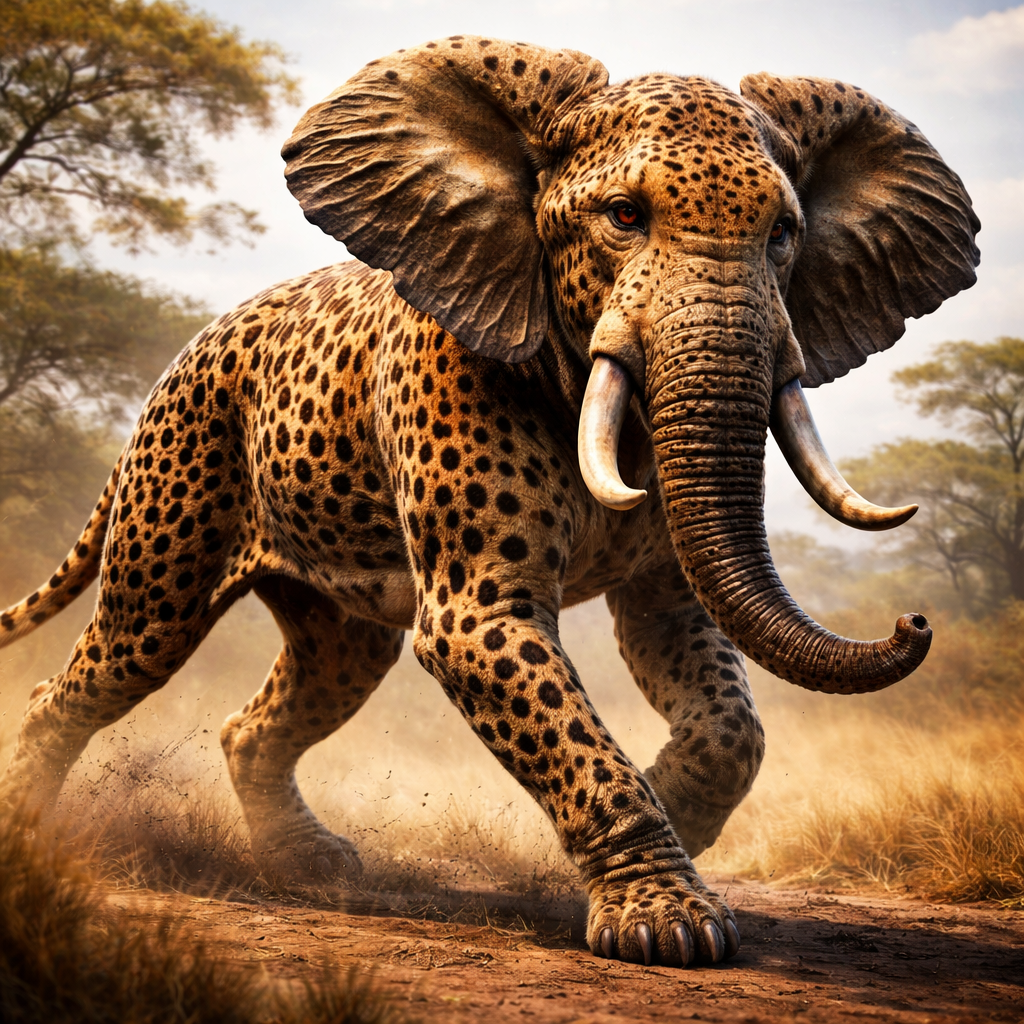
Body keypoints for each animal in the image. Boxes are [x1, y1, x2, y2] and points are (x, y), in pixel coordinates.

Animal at [0, 36, 979, 968]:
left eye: (783, 233)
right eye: (625, 217)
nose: (915, 621)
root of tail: (181, 356)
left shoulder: (671, 583)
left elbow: (718, 698)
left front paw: (668, 814)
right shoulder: (458, 438)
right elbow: (495, 644)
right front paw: (668, 928)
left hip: (333, 616)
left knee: (282, 701)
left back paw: (316, 871)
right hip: (174, 509)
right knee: (95, 670)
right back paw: (35, 839)